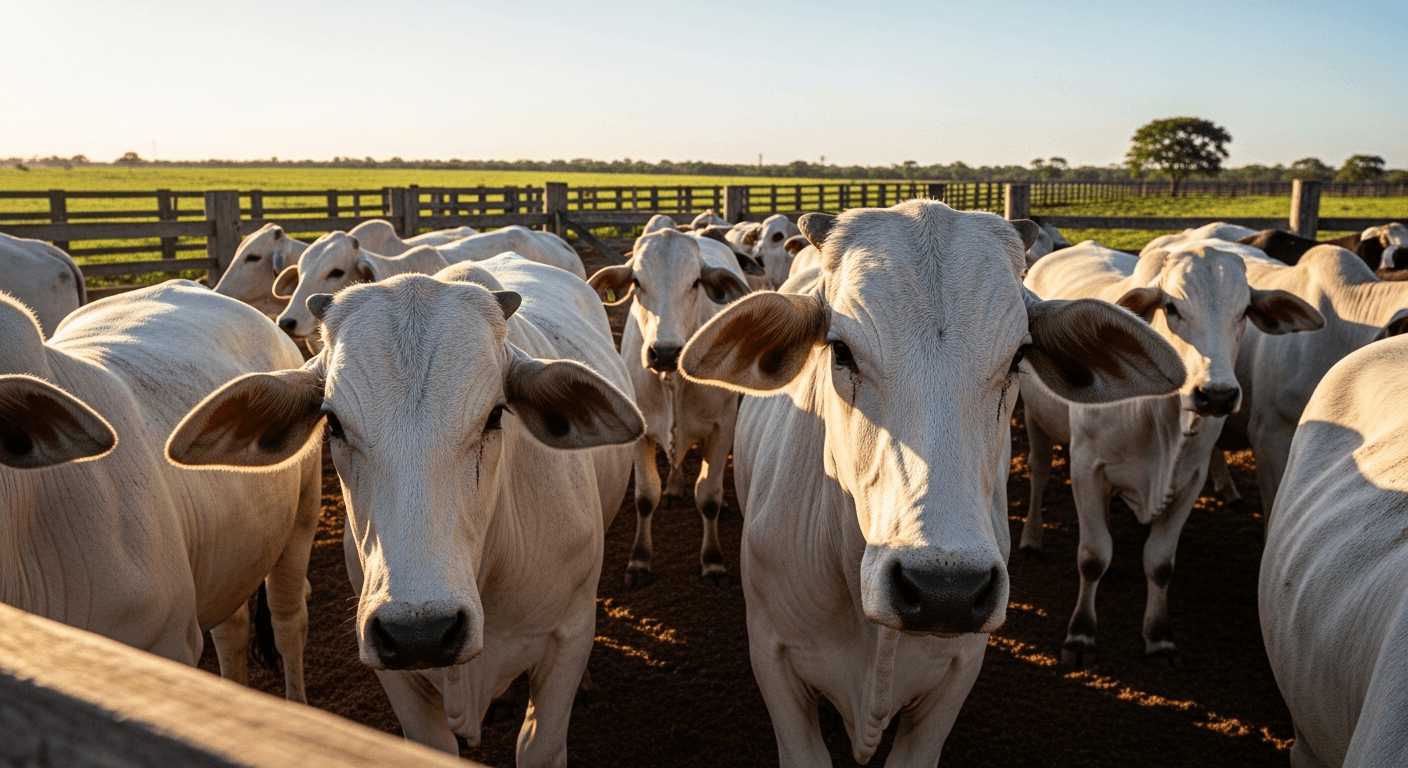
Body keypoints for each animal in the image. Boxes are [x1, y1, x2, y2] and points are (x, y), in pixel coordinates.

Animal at [167, 254, 641, 763]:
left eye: (496, 414)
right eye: (333, 423)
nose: (423, 632)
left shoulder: (567, 639)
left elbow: (540, 745)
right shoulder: (394, 671)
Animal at [586, 228, 752, 587]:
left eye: (695, 282)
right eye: (637, 281)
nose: (664, 352)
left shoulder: (723, 426)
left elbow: (708, 495)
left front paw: (713, 560)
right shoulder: (640, 431)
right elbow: (645, 496)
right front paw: (639, 560)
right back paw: (674, 487)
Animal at [1019, 239, 1322, 667]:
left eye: (1244, 311)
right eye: (1172, 307)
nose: (1217, 395)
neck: (1160, 415)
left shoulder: (1190, 481)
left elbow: (1160, 562)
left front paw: (1159, 637)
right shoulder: (1086, 467)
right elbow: (1093, 556)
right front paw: (1080, 635)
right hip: (1035, 418)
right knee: (1040, 472)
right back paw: (1032, 539)